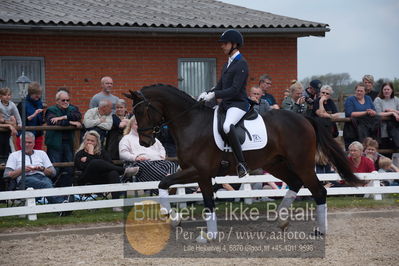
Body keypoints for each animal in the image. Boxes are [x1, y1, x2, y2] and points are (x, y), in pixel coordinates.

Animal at [126, 84, 366, 242]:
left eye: (142, 110)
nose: (144, 142)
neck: (190, 123)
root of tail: (304, 118)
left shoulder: (200, 172)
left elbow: (204, 200)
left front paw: (208, 235)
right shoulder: (191, 171)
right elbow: (163, 184)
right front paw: (175, 219)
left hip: (301, 164)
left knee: (318, 191)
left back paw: (320, 230)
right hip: (275, 164)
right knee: (296, 183)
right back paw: (281, 220)